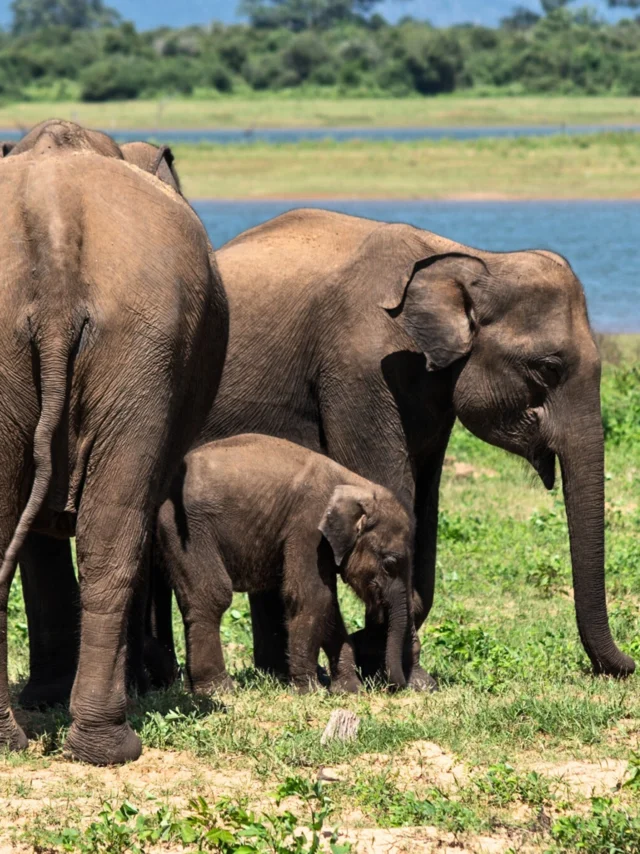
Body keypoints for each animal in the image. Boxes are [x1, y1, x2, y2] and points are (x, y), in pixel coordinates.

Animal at [0, 119, 228, 764]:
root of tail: (54, 235)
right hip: (143, 345)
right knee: (115, 531)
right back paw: (112, 744)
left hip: (130, 344)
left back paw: (31, 739)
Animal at [155, 434, 414, 694]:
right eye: (389, 563)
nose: (395, 686)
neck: (355, 485)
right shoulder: (308, 527)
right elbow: (313, 597)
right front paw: (310, 690)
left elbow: (329, 604)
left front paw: (349, 690)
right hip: (190, 530)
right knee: (212, 596)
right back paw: (219, 689)